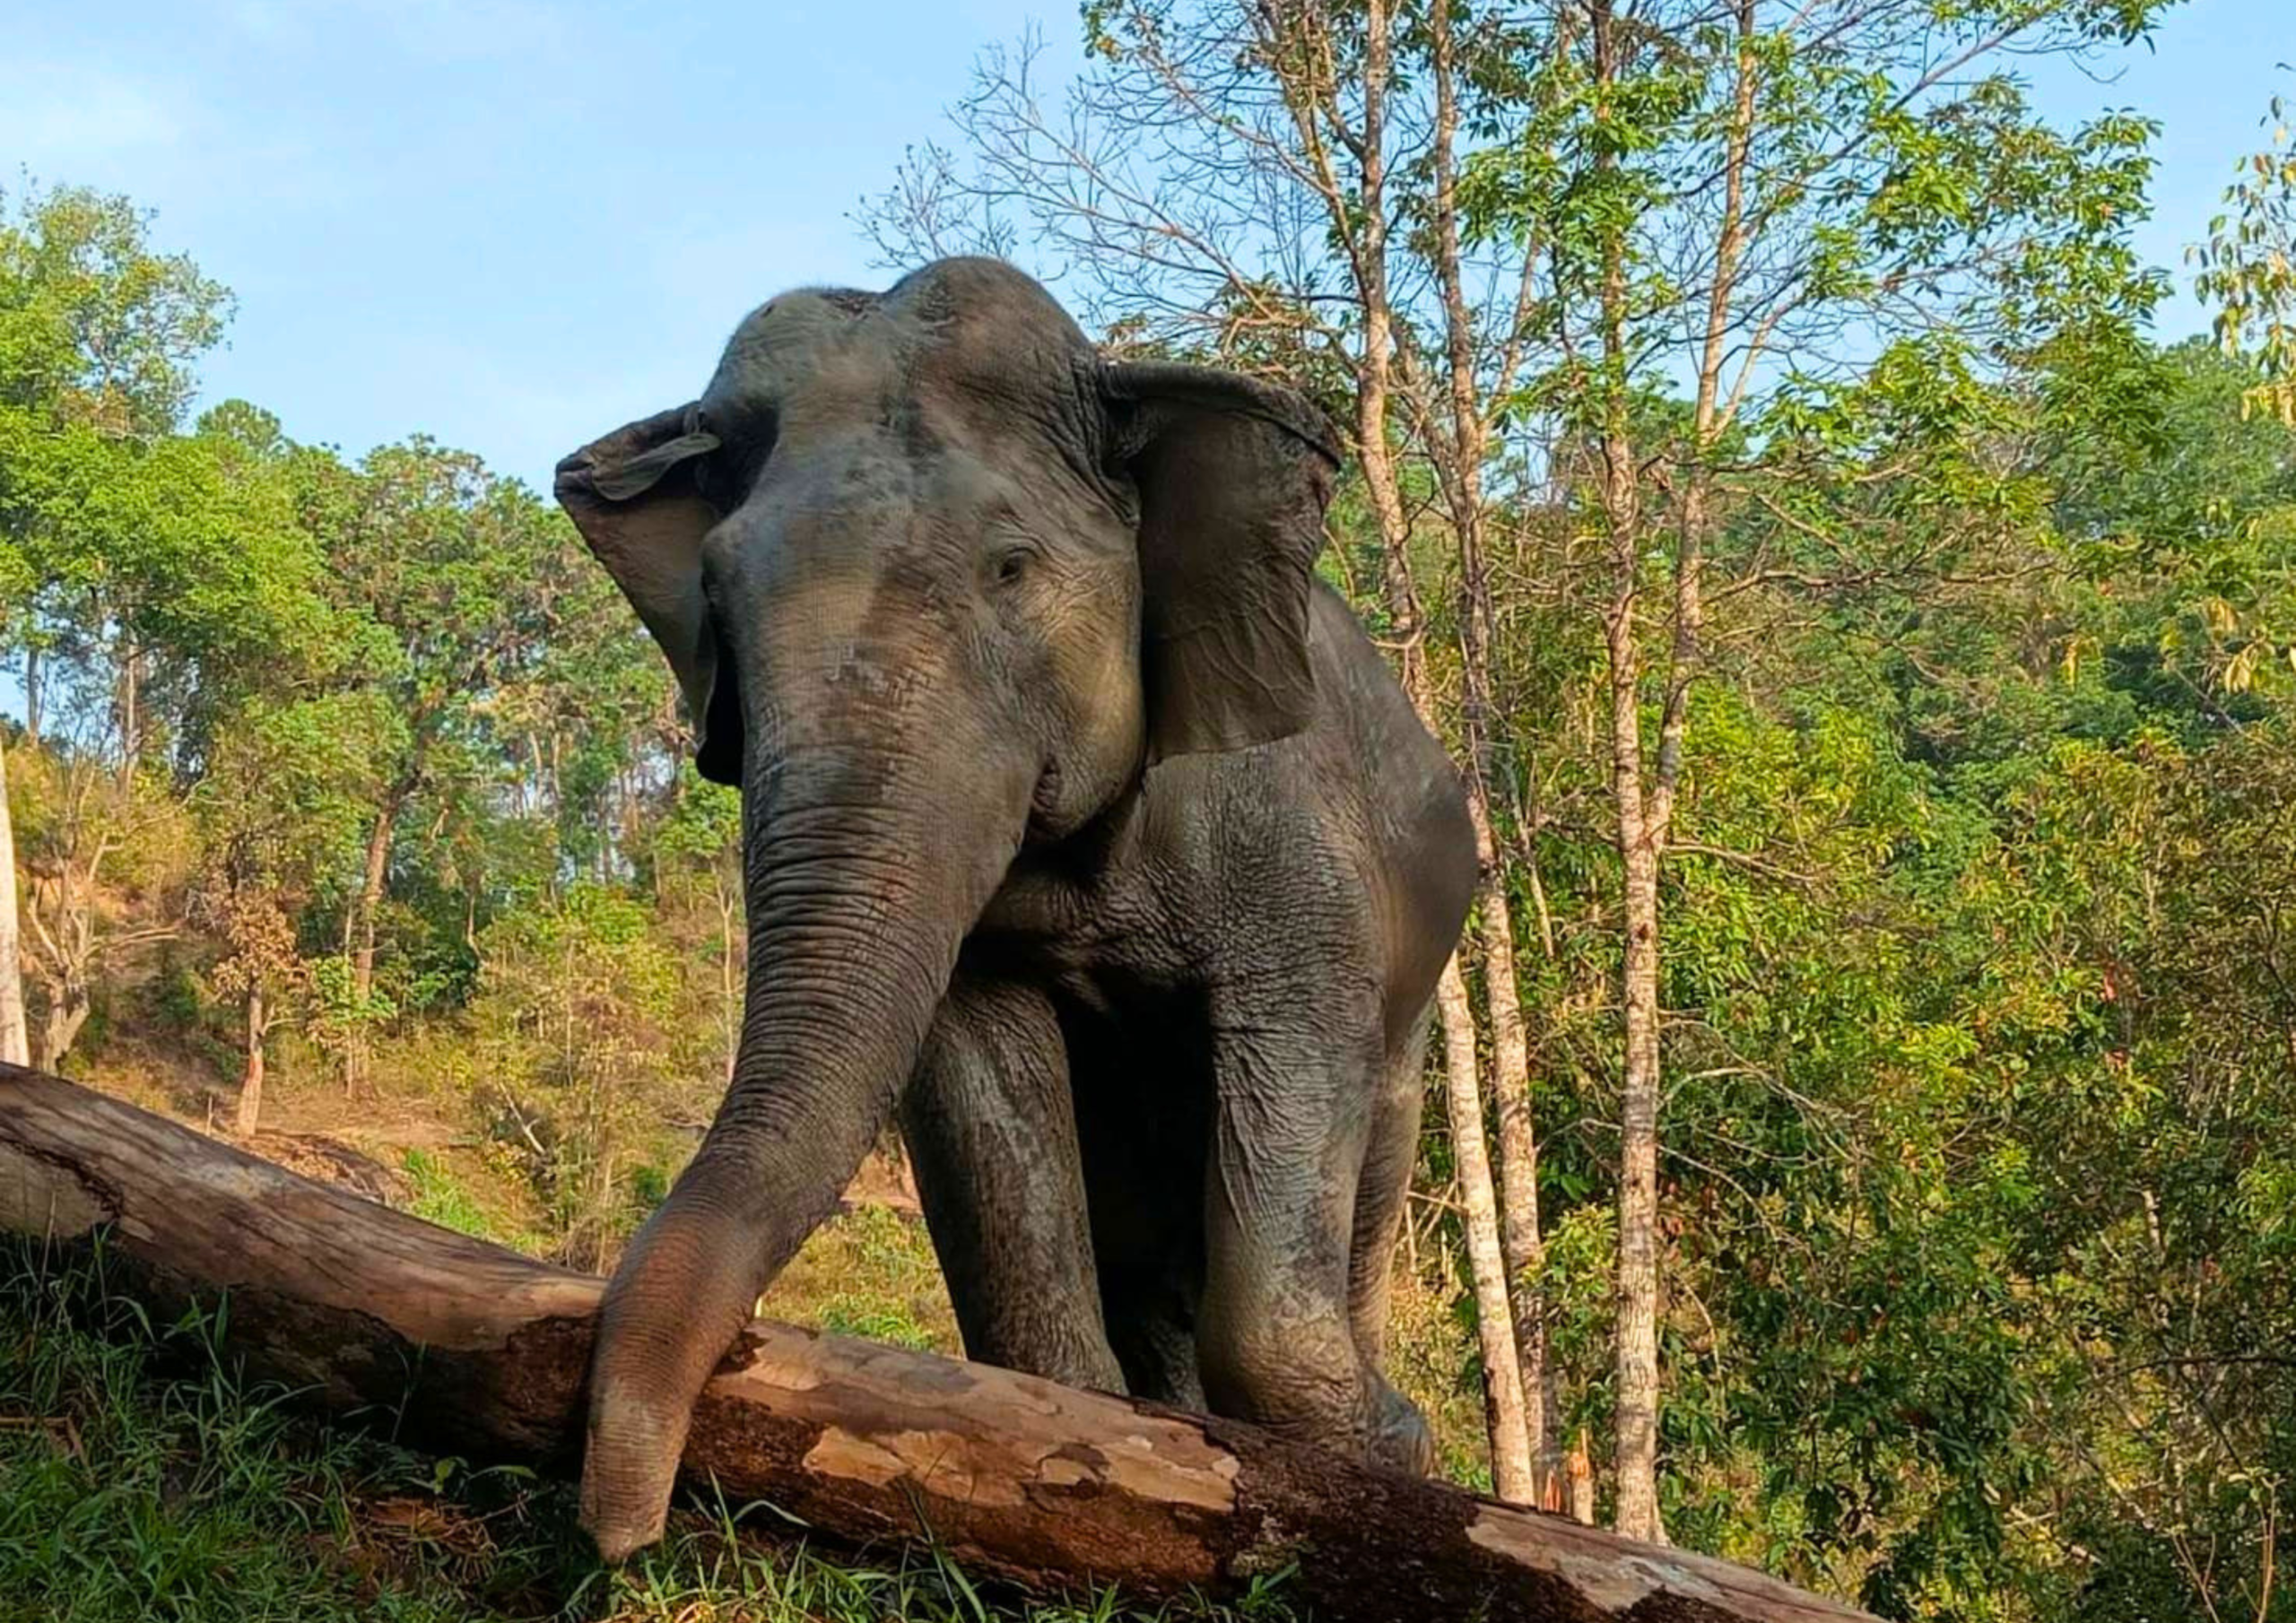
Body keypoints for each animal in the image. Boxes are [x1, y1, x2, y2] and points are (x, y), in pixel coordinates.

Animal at [554, 256, 1476, 1560]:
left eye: (1009, 568)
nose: (618, 1539)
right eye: (718, 599)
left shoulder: (1294, 834)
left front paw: (1395, 1448)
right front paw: (1086, 1430)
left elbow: (1291, 1047)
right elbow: (981, 1069)